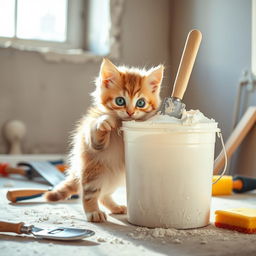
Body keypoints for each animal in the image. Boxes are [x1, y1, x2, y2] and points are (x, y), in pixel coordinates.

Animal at [45, 58, 164, 222]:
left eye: (141, 103)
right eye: (120, 101)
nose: (130, 112)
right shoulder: (93, 142)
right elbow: (96, 135)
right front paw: (104, 122)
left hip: (118, 177)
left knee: (104, 194)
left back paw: (115, 207)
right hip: (94, 170)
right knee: (89, 194)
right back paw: (93, 212)